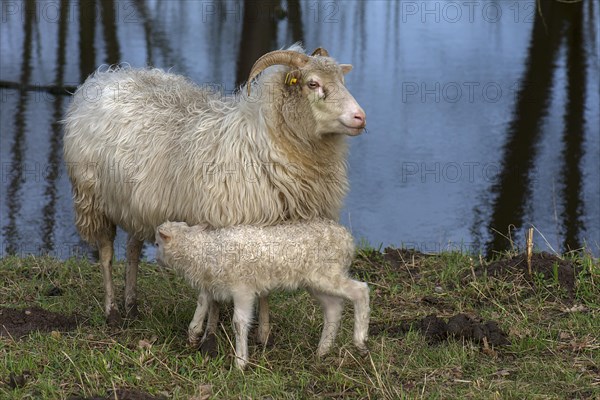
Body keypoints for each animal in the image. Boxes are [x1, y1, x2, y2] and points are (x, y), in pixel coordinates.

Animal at [63, 43, 368, 346]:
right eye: (312, 83)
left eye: (341, 80)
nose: (360, 118)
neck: (262, 143)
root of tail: (109, 75)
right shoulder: (222, 227)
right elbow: (213, 292)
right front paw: (209, 337)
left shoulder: (270, 231)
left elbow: (265, 286)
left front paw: (263, 335)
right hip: (94, 201)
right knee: (106, 254)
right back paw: (112, 311)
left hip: (135, 204)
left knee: (133, 250)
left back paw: (132, 305)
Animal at [155, 219, 370, 368]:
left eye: (157, 244)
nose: (157, 260)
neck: (203, 250)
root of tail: (347, 238)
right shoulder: (213, 285)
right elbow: (201, 304)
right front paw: (193, 335)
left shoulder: (243, 289)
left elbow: (239, 323)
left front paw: (240, 362)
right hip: (315, 281)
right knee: (333, 308)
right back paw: (322, 351)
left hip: (328, 274)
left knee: (360, 291)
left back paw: (359, 340)